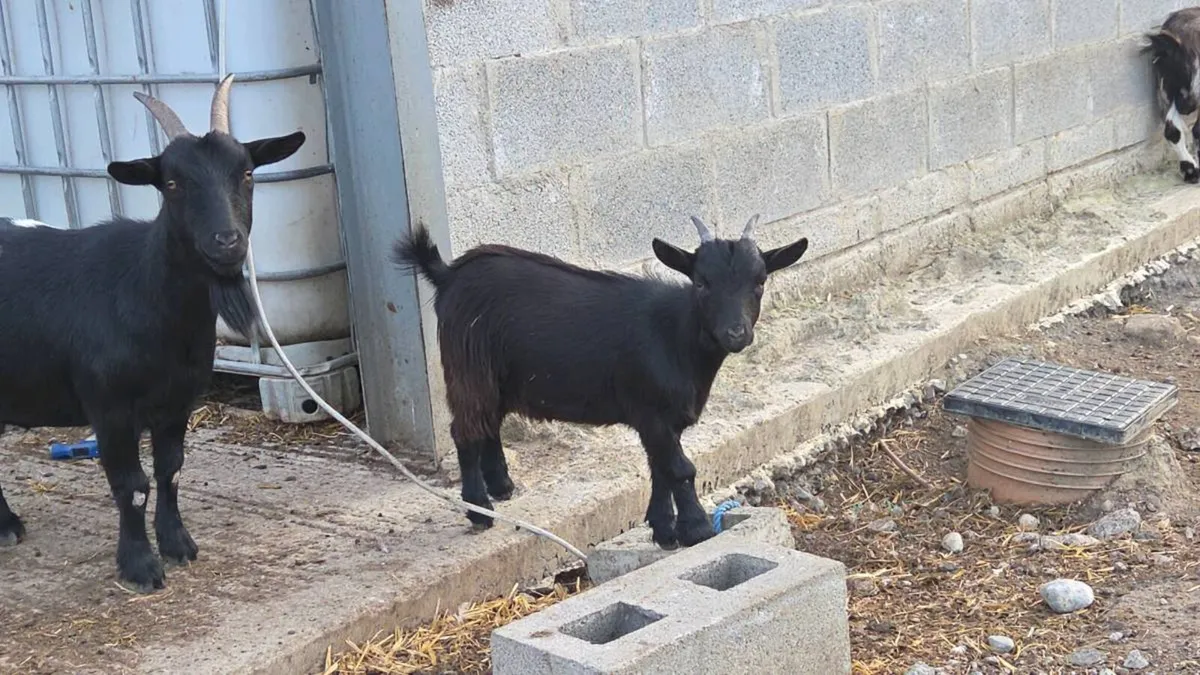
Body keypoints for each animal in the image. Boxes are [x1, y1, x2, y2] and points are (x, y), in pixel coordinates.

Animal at [0, 75, 306, 591]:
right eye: (172, 183)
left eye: (246, 173)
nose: (228, 241)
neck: (143, 293)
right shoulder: (109, 408)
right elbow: (131, 485)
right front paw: (140, 565)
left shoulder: (176, 402)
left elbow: (170, 472)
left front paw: (179, 545)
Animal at [392, 216, 809, 548]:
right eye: (702, 283)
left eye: (759, 282)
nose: (735, 333)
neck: (675, 335)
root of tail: (447, 274)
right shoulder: (653, 411)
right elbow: (680, 469)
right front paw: (697, 529)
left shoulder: (661, 420)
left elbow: (660, 468)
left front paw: (664, 530)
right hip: (467, 366)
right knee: (465, 430)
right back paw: (479, 509)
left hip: (496, 376)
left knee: (489, 422)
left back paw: (501, 486)